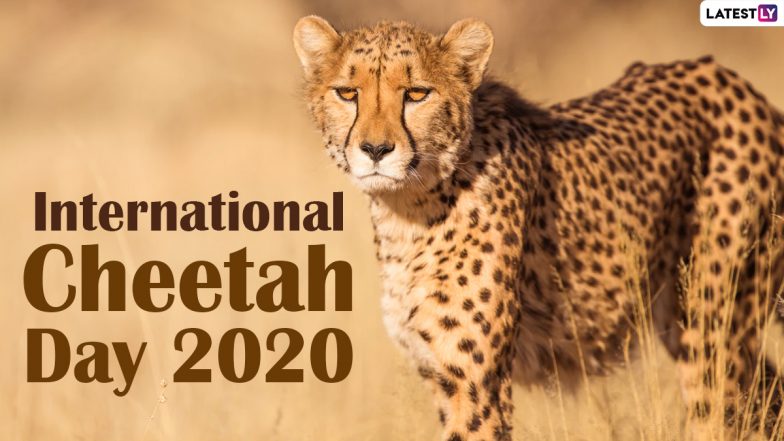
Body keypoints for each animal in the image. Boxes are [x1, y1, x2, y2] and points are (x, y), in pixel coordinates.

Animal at [293, 16, 784, 441]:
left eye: (416, 93)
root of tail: (732, 80)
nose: (375, 149)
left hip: (712, 328)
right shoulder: (440, 373)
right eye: (347, 92)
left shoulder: (476, 384)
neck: (409, 208)